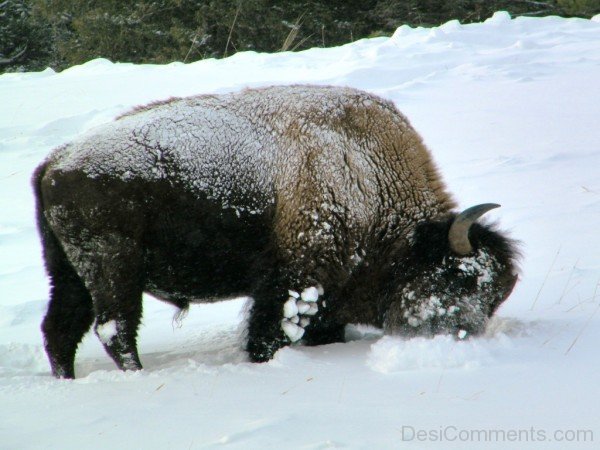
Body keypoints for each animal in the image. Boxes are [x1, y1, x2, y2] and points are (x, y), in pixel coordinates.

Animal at [34, 83, 520, 376]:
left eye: (495, 295)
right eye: (459, 277)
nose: (463, 335)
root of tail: (55, 162)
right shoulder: (293, 283)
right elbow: (269, 333)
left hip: (69, 273)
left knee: (61, 329)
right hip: (113, 268)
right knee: (114, 327)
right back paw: (136, 375)